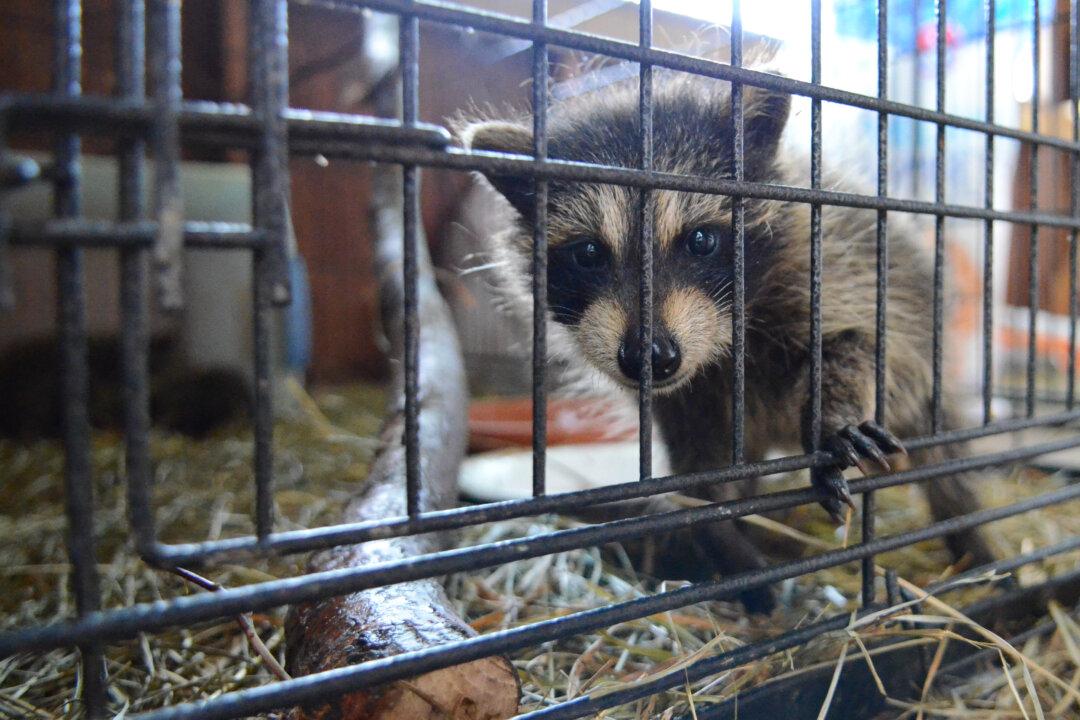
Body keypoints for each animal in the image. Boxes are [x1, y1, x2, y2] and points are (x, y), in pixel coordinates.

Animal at [459, 72, 994, 612]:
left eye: (700, 240)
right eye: (587, 253)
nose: (650, 357)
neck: (719, 349)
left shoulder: (840, 272)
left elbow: (863, 345)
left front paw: (833, 418)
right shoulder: (683, 402)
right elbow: (701, 483)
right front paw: (731, 551)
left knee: (945, 463)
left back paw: (973, 542)